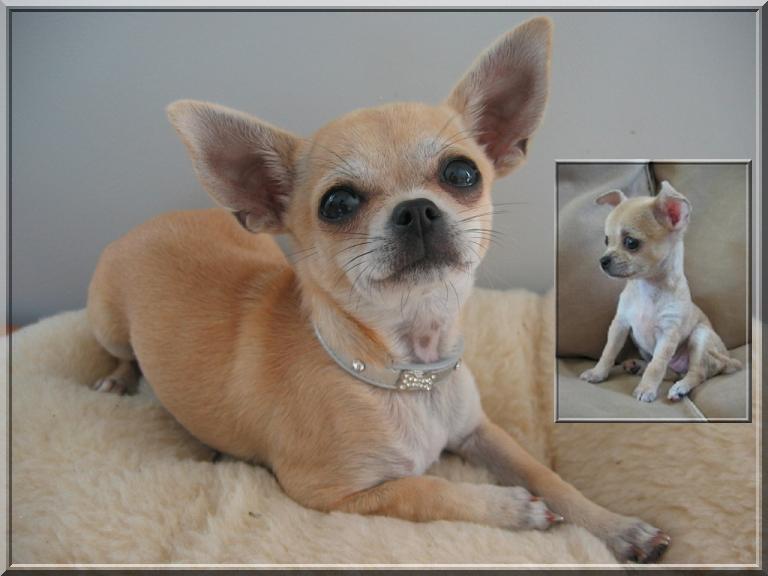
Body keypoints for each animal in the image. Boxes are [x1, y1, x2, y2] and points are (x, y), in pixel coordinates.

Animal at [87, 17, 669, 563]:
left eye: (462, 174)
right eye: (337, 204)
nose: (416, 209)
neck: (410, 371)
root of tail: (149, 225)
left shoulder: (480, 432)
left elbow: (546, 475)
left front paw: (618, 526)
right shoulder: (331, 493)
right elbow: (425, 488)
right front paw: (509, 506)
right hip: (109, 325)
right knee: (121, 354)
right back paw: (117, 380)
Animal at [580, 181, 742, 402]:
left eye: (631, 242)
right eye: (606, 241)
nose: (602, 261)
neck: (646, 287)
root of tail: (726, 359)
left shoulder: (668, 334)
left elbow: (657, 366)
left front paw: (646, 389)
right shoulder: (620, 324)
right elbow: (609, 352)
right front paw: (597, 373)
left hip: (700, 336)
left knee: (696, 373)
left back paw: (680, 388)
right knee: (670, 371)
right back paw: (637, 365)